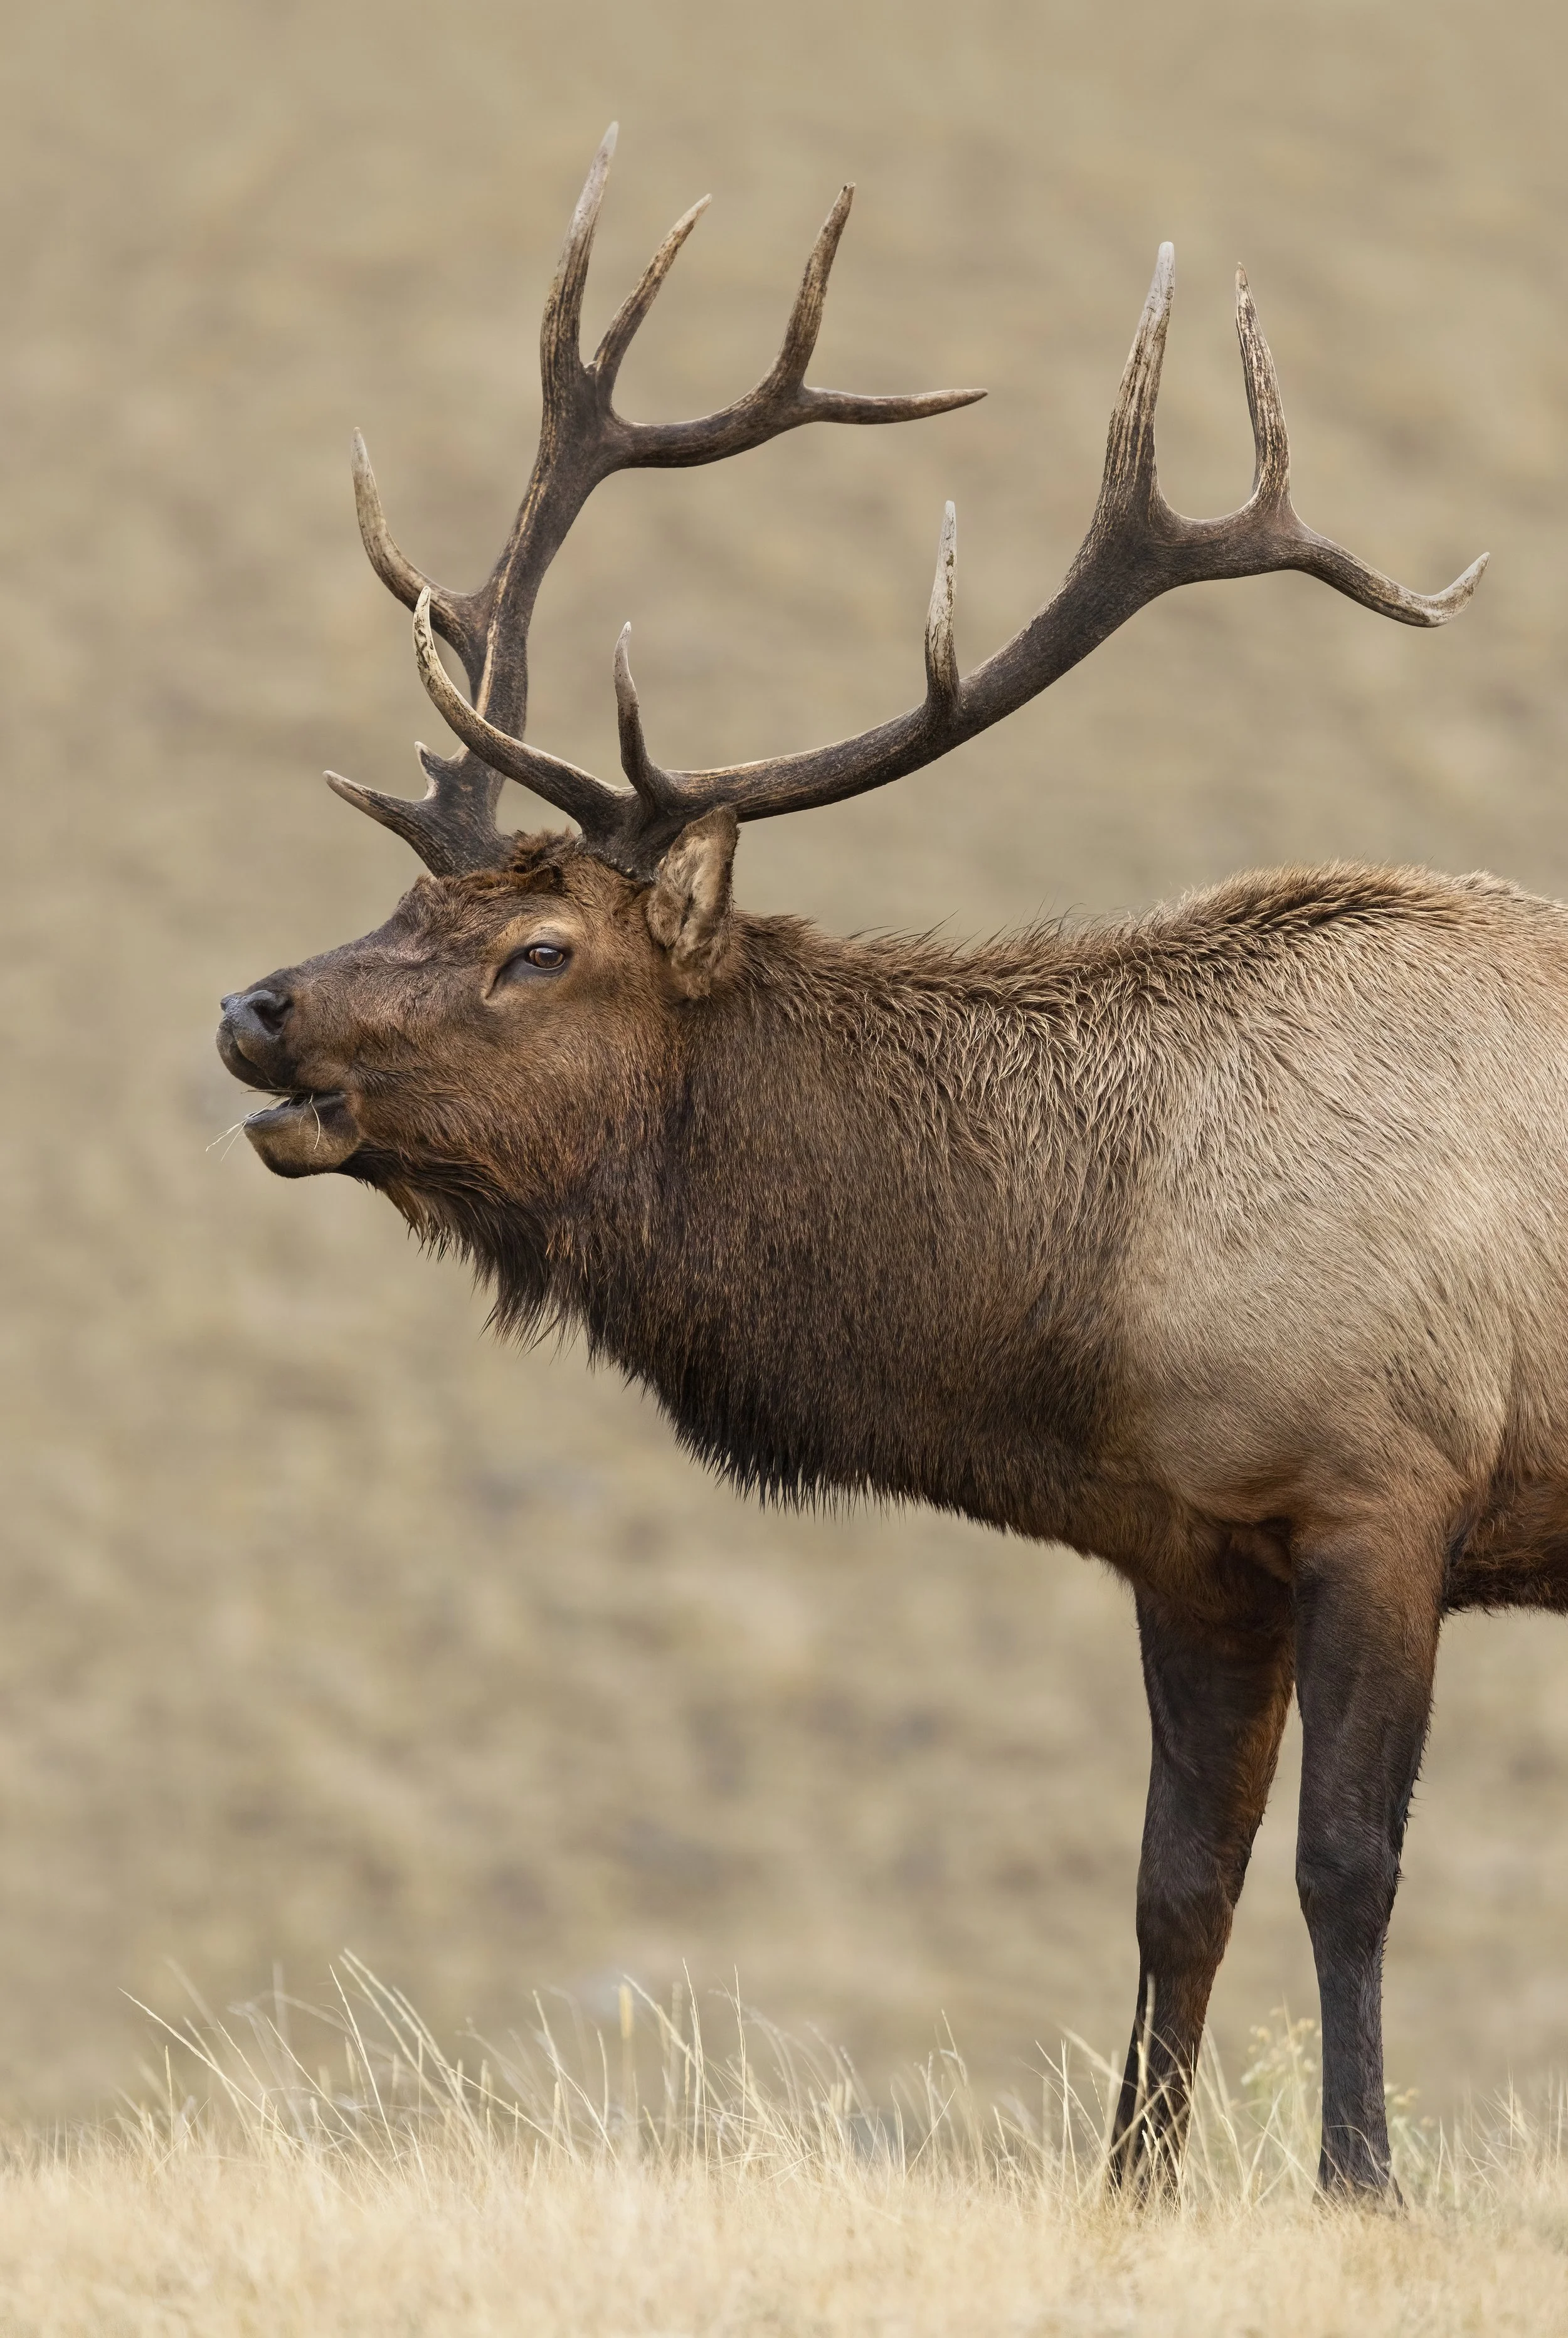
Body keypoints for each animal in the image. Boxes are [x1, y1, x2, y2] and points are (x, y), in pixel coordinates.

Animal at [215, 126, 1528, 2200]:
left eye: (539, 951)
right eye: (408, 898)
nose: (253, 1012)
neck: (1095, 1291)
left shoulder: (1385, 1484)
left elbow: (1346, 1869)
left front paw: (1358, 2187)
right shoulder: (1189, 1550)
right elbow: (1174, 1889)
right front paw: (1128, 2193)